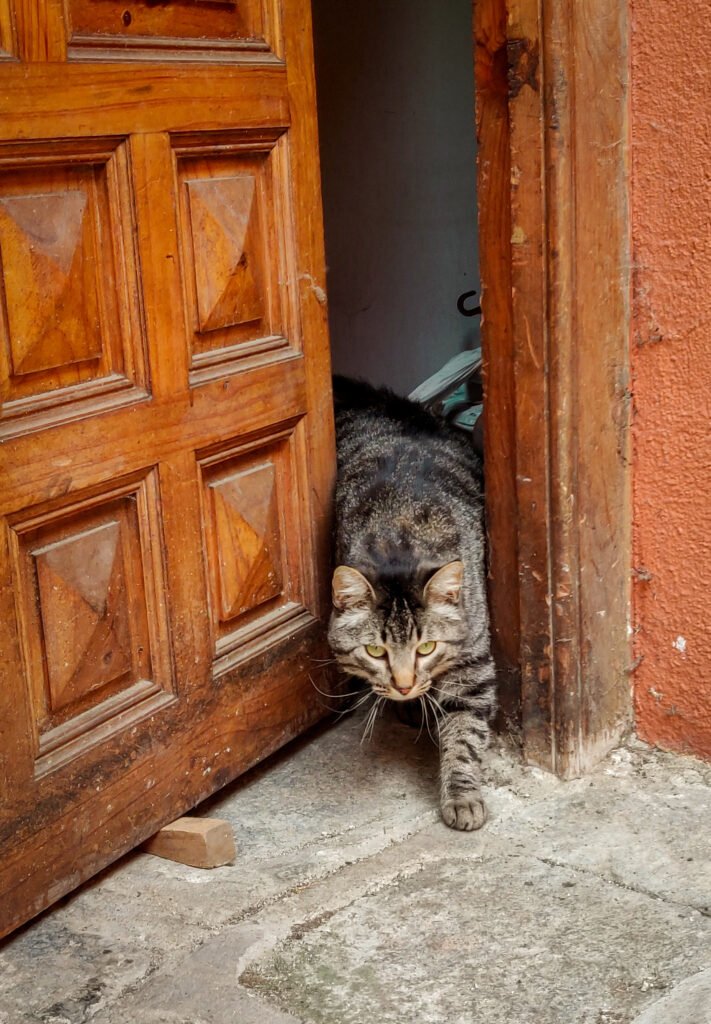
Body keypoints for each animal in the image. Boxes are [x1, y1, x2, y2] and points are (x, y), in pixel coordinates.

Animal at [327, 376, 495, 831]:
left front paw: (462, 795)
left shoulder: (473, 665)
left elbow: (465, 736)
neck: (399, 539)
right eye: (374, 650)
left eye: (427, 647)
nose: (403, 685)